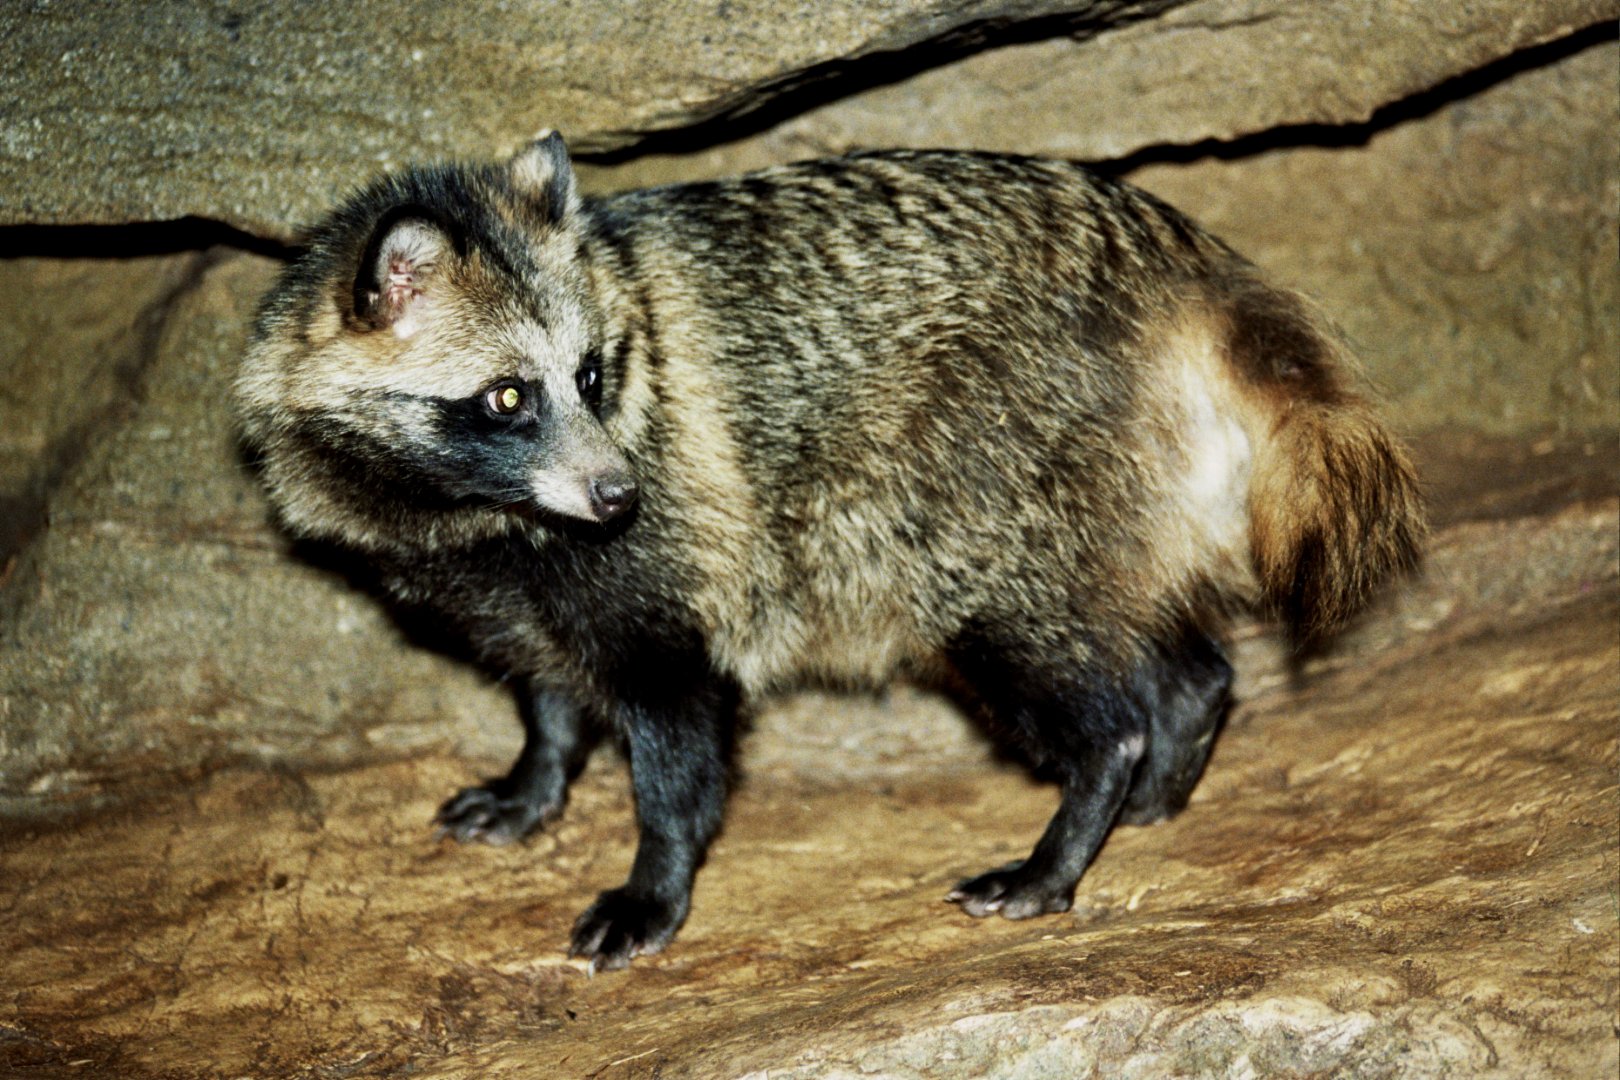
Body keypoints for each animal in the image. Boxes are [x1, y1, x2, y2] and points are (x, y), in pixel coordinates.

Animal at [236, 132, 1423, 972]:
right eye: (504, 397)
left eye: (591, 374)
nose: (619, 491)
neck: (477, 512)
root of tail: (1184, 266)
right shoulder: (518, 578)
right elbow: (550, 684)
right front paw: (536, 775)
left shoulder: (674, 547)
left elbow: (678, 726)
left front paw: (655, 881)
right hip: (1107, 498)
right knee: (1170, 649)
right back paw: (1168, 755)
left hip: (994, 481)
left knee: (1057, 656)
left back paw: (1081, 813)